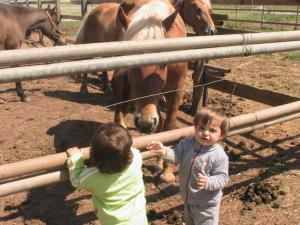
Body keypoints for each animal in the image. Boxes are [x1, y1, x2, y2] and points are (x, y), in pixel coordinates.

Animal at [75, 0, 188, 182]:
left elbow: (169, 127)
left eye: (163, 63)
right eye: (130, 63)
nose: (145, 123)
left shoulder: (176, 91)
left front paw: (166, 169)